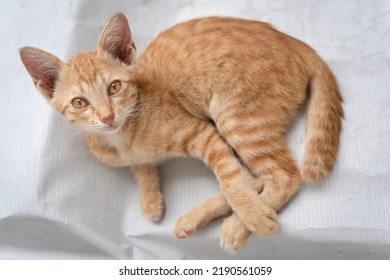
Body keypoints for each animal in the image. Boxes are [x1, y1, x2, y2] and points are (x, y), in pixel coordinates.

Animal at [19, 13, 342, 254]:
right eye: (80, 103)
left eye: (114, 87)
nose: (107, 117)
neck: (124, 137)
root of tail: (297, 44)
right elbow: (142, 167)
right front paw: (150, 198)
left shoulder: (204, 133)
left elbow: (231, 179)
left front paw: (252, 216)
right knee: (257, 176)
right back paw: (194, 221)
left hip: (233, 116)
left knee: (282, 175)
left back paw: (239, 225)